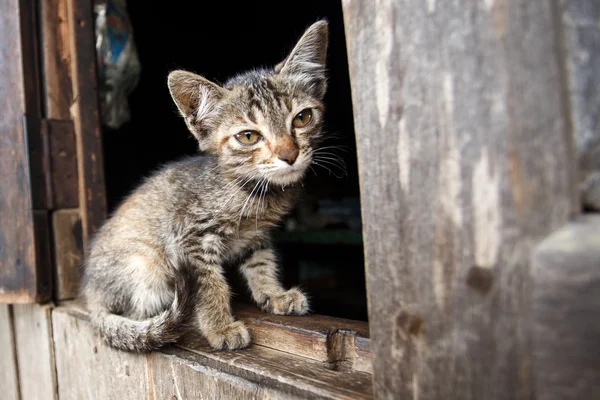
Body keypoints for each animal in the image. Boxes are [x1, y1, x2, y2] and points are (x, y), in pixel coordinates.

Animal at [81, 21, 328, 354]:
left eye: (302, 118)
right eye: (248, 137)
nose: (289, 155)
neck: (254, 191)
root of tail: (91, 297)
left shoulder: (257, 235)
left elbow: (262, 264)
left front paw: (273, 294)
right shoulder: (190, 236)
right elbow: (210, 284)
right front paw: (220, 326)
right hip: (146, 266)